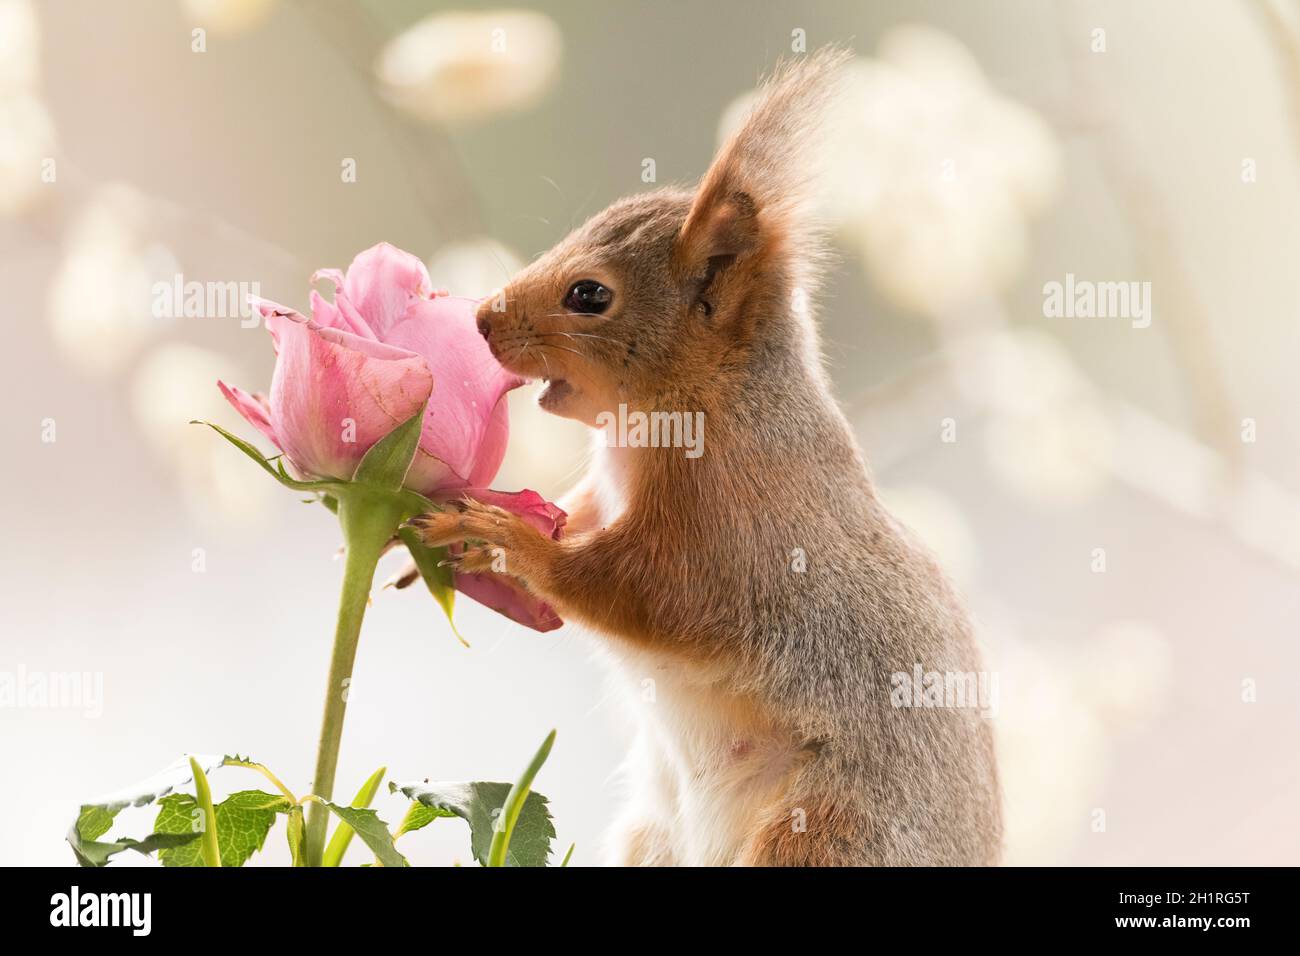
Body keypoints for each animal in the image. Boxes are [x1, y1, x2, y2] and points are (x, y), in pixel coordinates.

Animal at [410, 50, 998, 868]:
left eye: (589, 294)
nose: (483, 320)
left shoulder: (721, 530)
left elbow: (637, 591)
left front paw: (504, 540)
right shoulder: (601, 491)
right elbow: (575, 516)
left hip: (821, 836)